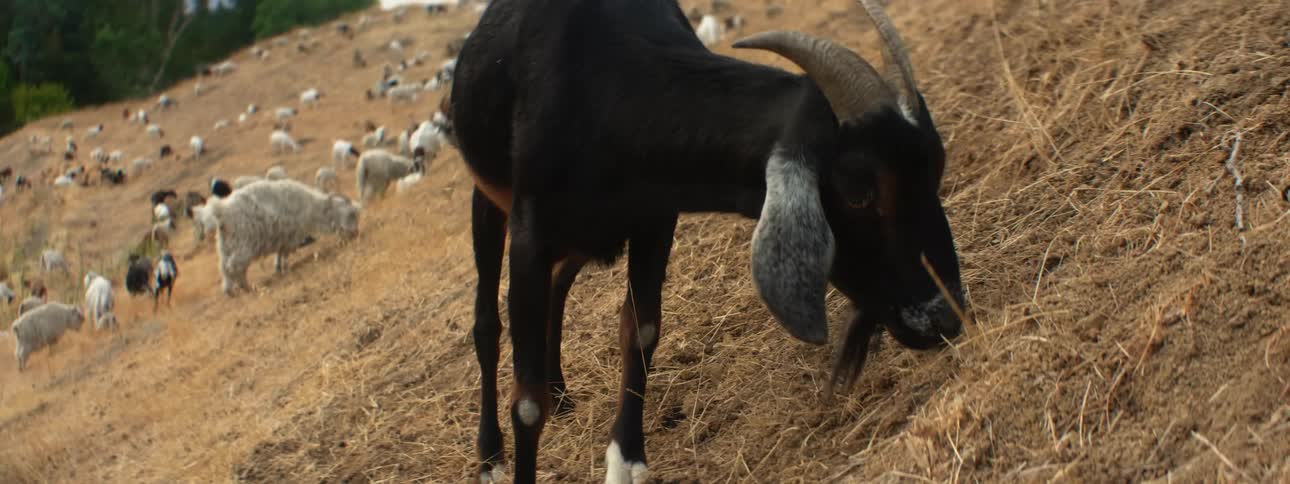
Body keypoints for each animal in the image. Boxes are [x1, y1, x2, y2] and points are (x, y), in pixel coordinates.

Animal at [451, 0, 966, 482]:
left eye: (935, 165)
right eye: (859, 192)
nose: (945, 316)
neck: (607, 89)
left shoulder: (653, 220)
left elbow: (641, 330)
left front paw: (626, 461)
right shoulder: (531, 234)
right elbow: (527, 402)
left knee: (559, 284)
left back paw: (560, 392)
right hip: (488, 203)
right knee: (486, 323)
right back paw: (490, 456)